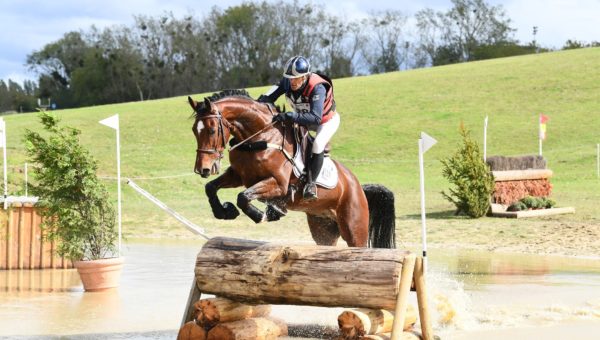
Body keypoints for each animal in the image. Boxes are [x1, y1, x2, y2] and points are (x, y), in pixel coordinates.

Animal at [188, 89, 394, 248]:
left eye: (212, 130)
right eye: (193, 131)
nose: (203, 169)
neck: (261, 137)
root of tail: (359, 187)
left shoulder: (278, 184)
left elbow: (243, 197)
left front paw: (265, 214)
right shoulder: (238, 176)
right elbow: (211, 187)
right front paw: (224, 211)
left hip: (354, 228)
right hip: (323, 226)